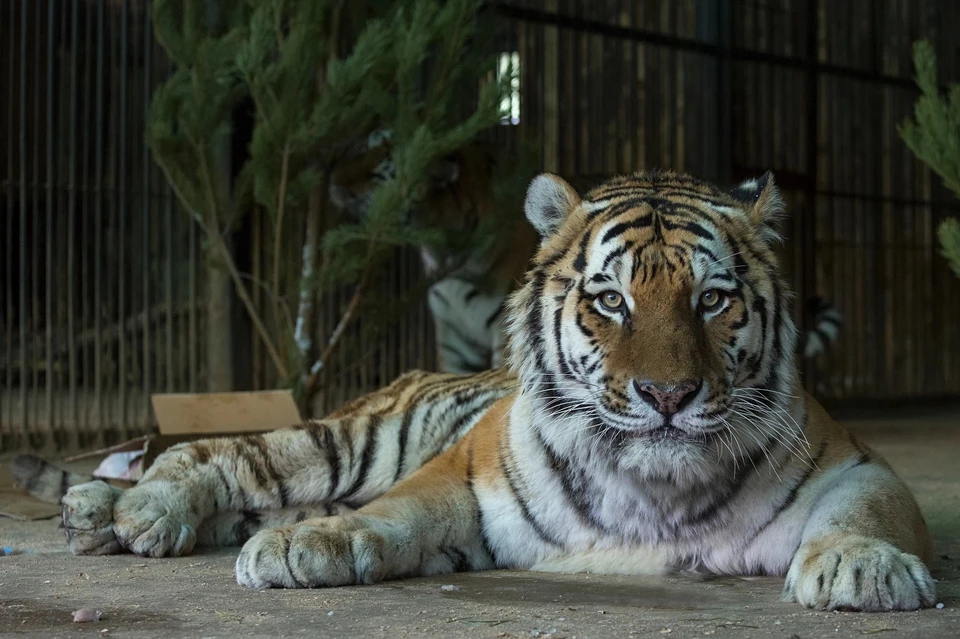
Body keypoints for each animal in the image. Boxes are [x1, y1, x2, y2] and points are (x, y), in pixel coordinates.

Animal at [43, 170, 928, 616]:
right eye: (612, 300)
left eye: (712, 299)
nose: (668, 393)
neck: (653, 485)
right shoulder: (465, 473)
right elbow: (393, 513)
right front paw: (312, 546)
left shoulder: (852, 461)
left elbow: (864, 510)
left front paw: (862, 566)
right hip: (349, 444)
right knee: (219, 452)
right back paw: (134, 510)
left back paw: (99, 515)